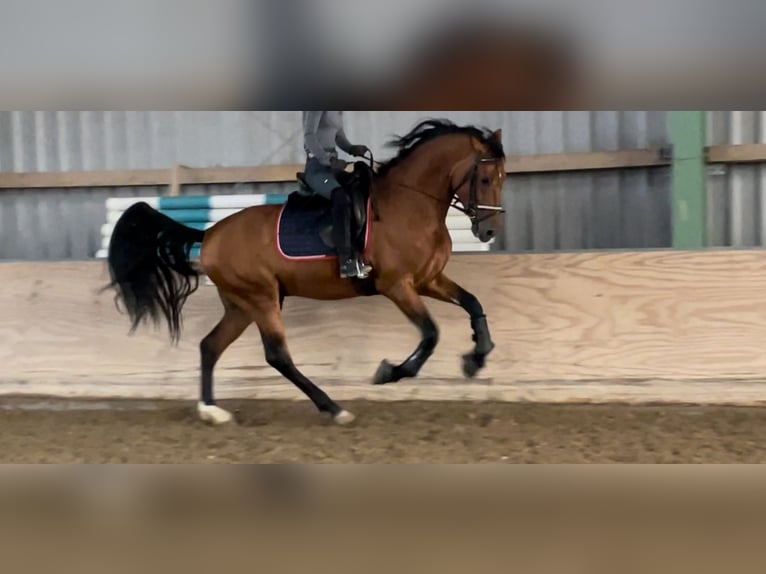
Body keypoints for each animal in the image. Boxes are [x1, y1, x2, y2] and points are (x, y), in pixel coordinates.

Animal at [105, 120, 508, 428]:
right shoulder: (397, 285)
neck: (411, 204)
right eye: (486, 179)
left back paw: (212, 412)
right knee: (277, 356)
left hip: (242, 305)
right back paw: (334, 408)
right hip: (261, 298)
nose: (489, 231)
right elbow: (430, 334)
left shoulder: (427, 280)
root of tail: (210, 235)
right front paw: (389, 372)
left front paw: (476, 358)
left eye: (503, 178)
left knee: (210, 346)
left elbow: (473, 304)